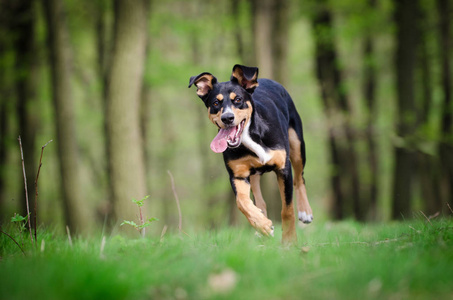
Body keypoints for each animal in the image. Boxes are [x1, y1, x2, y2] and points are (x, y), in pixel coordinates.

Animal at [189, 63, 312, 244]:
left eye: (238, 100)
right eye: (215, 103)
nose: (227, 118)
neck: (250, 135)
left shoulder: (283, 168)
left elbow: (287, 209)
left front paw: (289, 242)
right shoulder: (238, 175)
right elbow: (242, 202)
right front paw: (262, 224)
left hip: (297, 144)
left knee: (299, 178)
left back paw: (305, 212)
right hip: (253, 174)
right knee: (259, 201)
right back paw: (260, 225)